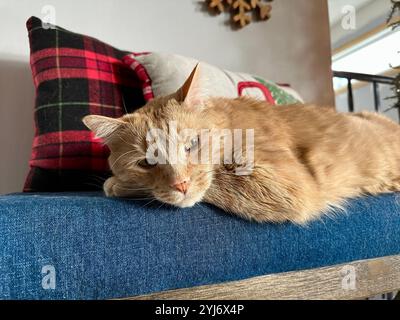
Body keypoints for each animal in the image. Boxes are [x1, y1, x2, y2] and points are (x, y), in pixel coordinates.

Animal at [82, 65, 400, 224]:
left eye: (192, 144)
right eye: (146, 162)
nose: (181, 185)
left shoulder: (290, 187)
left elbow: (216, 181)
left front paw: (116, 185)